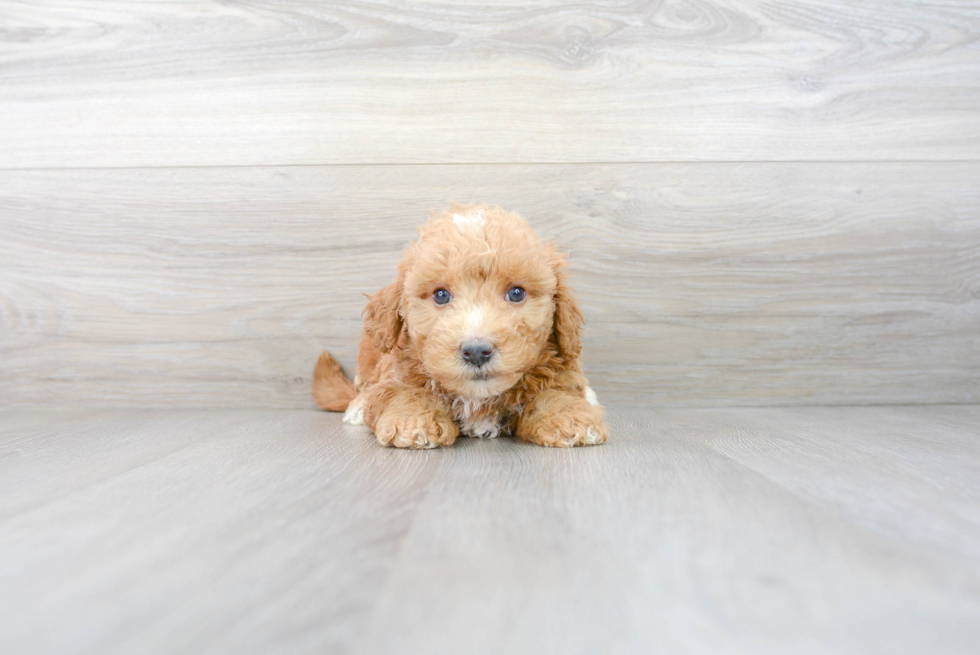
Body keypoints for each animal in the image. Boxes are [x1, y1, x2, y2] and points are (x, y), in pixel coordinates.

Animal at [314, 205, 608, 452]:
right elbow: (402, 392)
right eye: (441, 295)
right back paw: (356, 408)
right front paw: (413, 422)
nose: (476, 351)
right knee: (363, 388)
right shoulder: (395, 372)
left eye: (516, 293)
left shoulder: (560, 366)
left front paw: (570, 418)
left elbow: (556, 392)